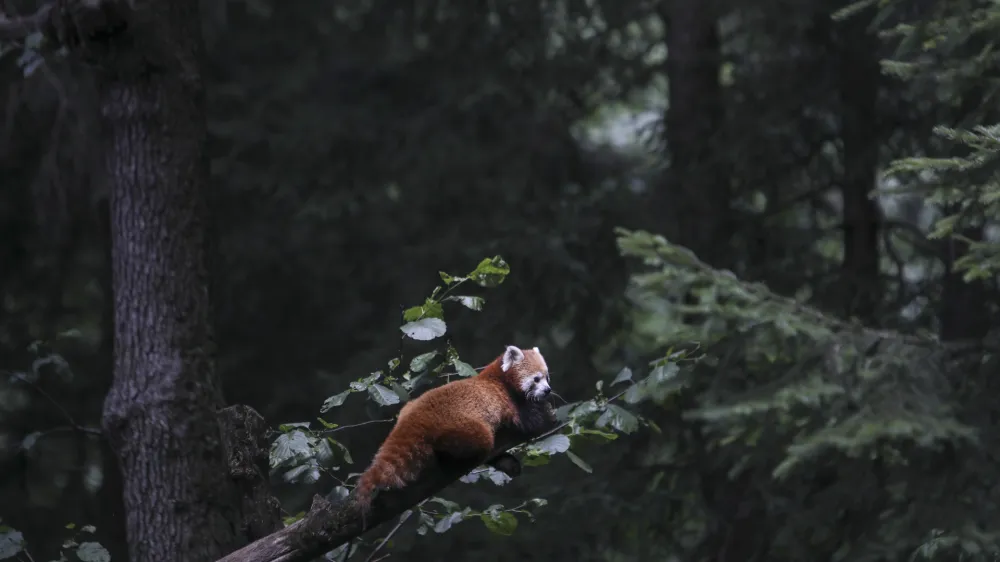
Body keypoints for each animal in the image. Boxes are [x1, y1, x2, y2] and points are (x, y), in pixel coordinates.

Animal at [350, 342, 556, 512]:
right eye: (536, 379)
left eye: (547, 377)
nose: (548, 390)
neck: (500, 379)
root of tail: (417, 415)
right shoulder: (509, 402)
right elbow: (529, 422)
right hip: (465, 428)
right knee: (480, 442)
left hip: (407, 409)